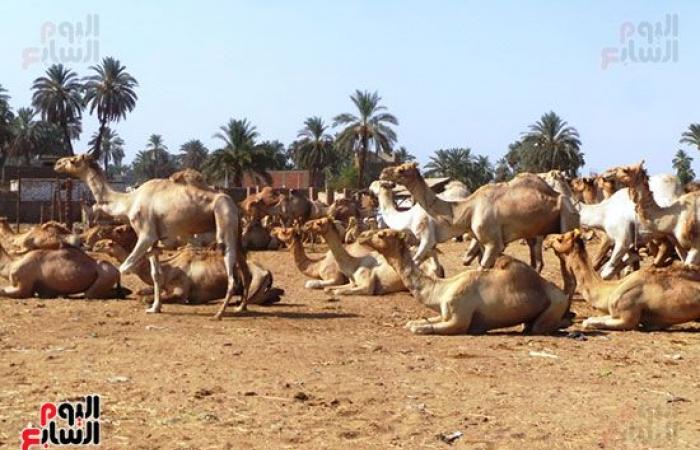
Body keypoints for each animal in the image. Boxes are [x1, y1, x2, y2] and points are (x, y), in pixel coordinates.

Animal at [54, 156, 252, 318]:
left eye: (73, 160)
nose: (57, 163)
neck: (128, 202)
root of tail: (233, 203)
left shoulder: (146, 235)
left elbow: (123, 268)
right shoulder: (152, 240)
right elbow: (156, 274)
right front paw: (155, 308)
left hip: (224, 219)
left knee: (231, 272)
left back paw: (219, 313)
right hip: (236, 232)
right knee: (246, 271)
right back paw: (240, 307)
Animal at [94, 239, 284, 306]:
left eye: (106, 243)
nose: (95, 244)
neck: (169, 268)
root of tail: (267, 271)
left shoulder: (181, 291)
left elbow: (146, 298)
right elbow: (142, 292)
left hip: (254, 283)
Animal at [302, 218, 442, 296]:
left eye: (319, 223)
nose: (306, 224)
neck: (354, 265)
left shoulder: (366, 286)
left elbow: (338, 291)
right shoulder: (352, 283)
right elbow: (329, 289)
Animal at [358, 230, 572, 336]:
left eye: (382, 234)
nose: (361, 237)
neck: (441, 289)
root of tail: (563, 295)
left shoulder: (459, 319)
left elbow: (420, 328)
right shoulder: (445, 313)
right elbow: (418, 322)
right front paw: (413, 322)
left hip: (554, 305)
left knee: (540, 327)